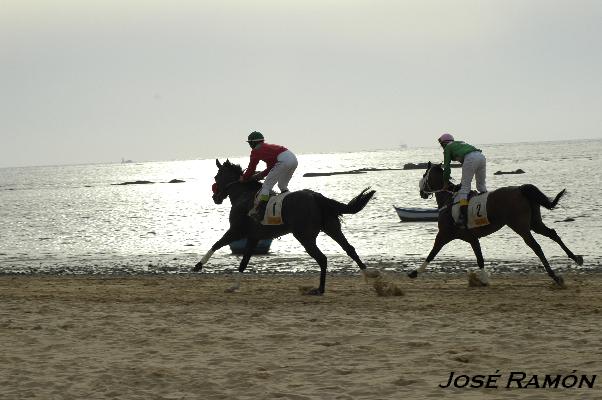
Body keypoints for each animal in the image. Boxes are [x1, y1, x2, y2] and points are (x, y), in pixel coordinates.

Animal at [193, 159, 376, 294]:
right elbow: (244, 261)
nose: (215, 198)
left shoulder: (237, 231)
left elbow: (216, 244)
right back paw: (371, 278)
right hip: (332, 228)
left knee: (322, 258)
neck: (243, 195)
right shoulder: (253, 237)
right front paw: (234, 286)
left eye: (216, 178)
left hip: (304, 236)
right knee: (350, 249)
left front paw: (197, 266)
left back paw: (320, 289)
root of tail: (316, 197)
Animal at [408, 162, 580, 288]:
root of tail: (520, 189)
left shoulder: (443, 235)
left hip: (520, 226)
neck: (449, 201)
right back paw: (576, 258)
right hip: (534, 223)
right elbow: (480, 258)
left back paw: (555, 276)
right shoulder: (472, 238)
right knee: (552, 233)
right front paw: (483, 279)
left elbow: (432, 253)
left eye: (424, 175)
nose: (421, 193)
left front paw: (415, 272)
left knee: (536, 246)